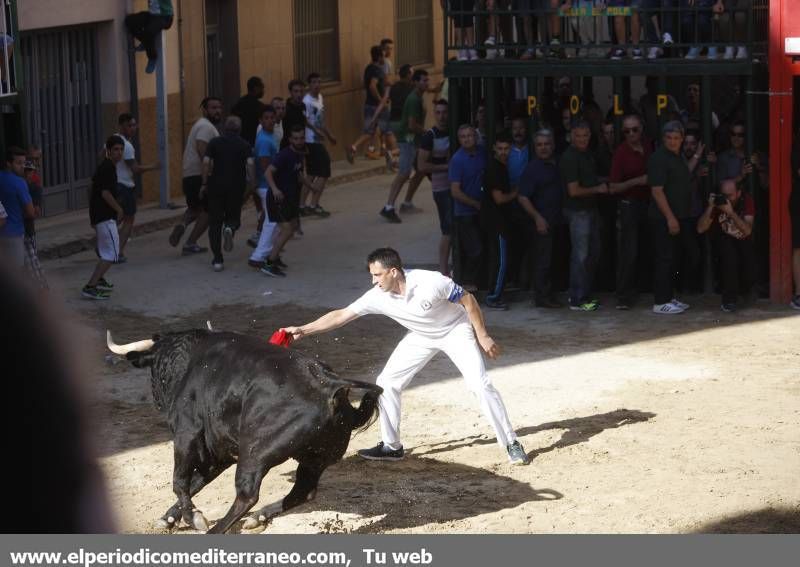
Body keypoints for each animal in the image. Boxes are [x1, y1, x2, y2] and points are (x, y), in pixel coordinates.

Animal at [111, 328, 382, 532]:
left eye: (154, 367)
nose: (156, 398)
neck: (187, 359)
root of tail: (331, 386)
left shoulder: (186, 434)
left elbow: (180, 481)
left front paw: (194, 518)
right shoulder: (219, 451)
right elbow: (196, 482)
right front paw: (168, 518)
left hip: (255, 451)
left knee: (247, 494)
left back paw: (216, 530)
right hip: (315, 459)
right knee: (302, 493)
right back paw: (258, 517)